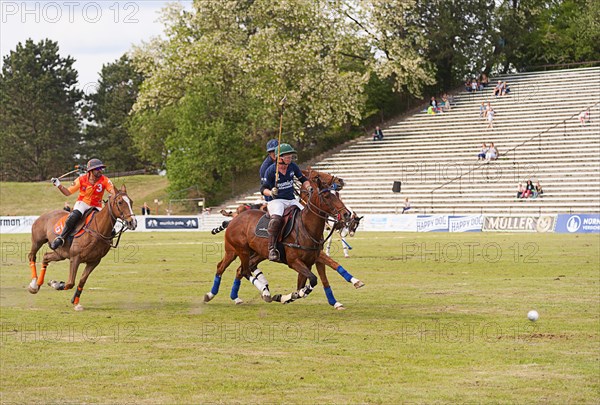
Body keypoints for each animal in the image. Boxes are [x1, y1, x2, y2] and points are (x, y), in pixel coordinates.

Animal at [205, 169, 352, 304]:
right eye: (326, 196)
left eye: (337, 194)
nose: (346, 214)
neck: (306, 227)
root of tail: (235, 218)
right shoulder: (294, 262)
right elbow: (313, 280)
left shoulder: (310, 262)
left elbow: (306, 284)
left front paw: (285, 297)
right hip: (238, 250)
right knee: (236, 269)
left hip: (254, 252)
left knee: (239, 269)